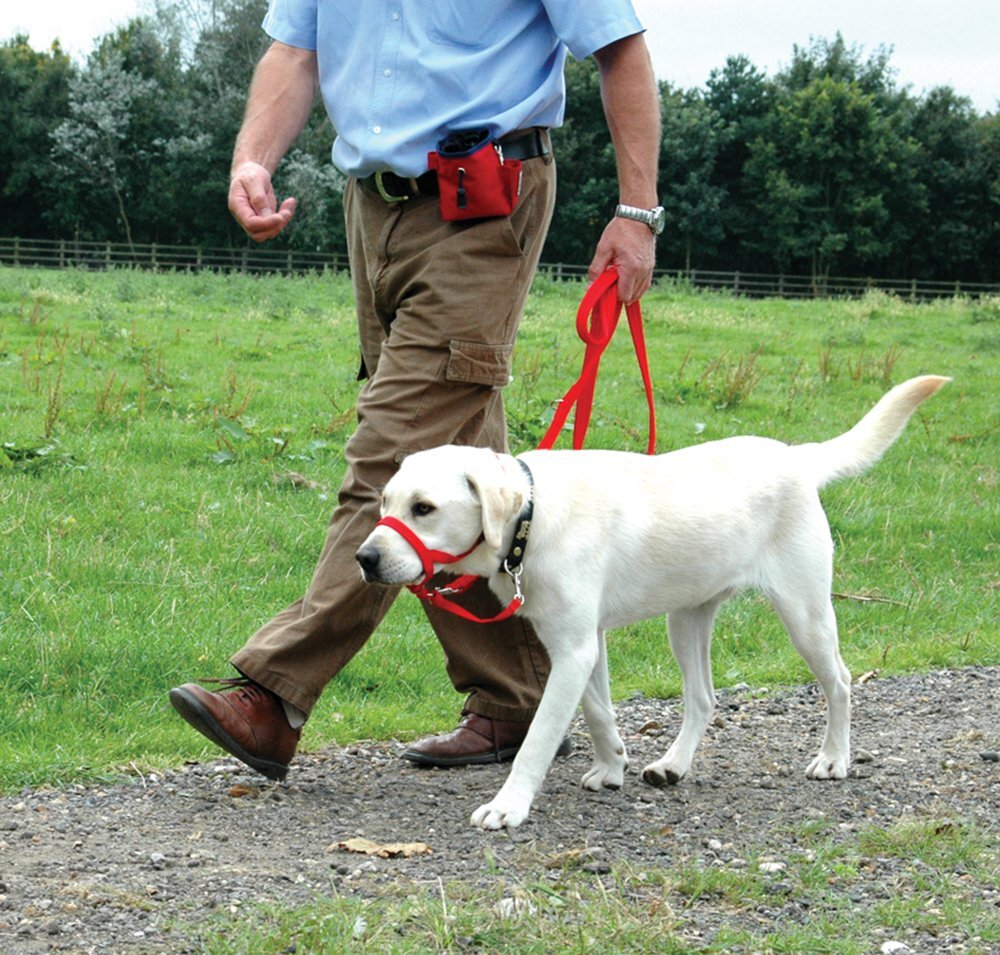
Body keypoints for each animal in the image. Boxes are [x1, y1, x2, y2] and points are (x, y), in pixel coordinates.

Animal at [358, 376, 944, 828]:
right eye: (385, 501)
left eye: (424, 508)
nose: (364, 558)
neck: (531, 516)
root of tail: (795, 457)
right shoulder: (580, 644)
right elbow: (597, 712)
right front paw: (612, 765)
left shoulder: (574, 649)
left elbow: (538, 738)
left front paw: (509, 806)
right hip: (685, 620)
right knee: (704, 698)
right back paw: (673, 765)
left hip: (805, 615)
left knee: (840, 682)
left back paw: (834, 759)